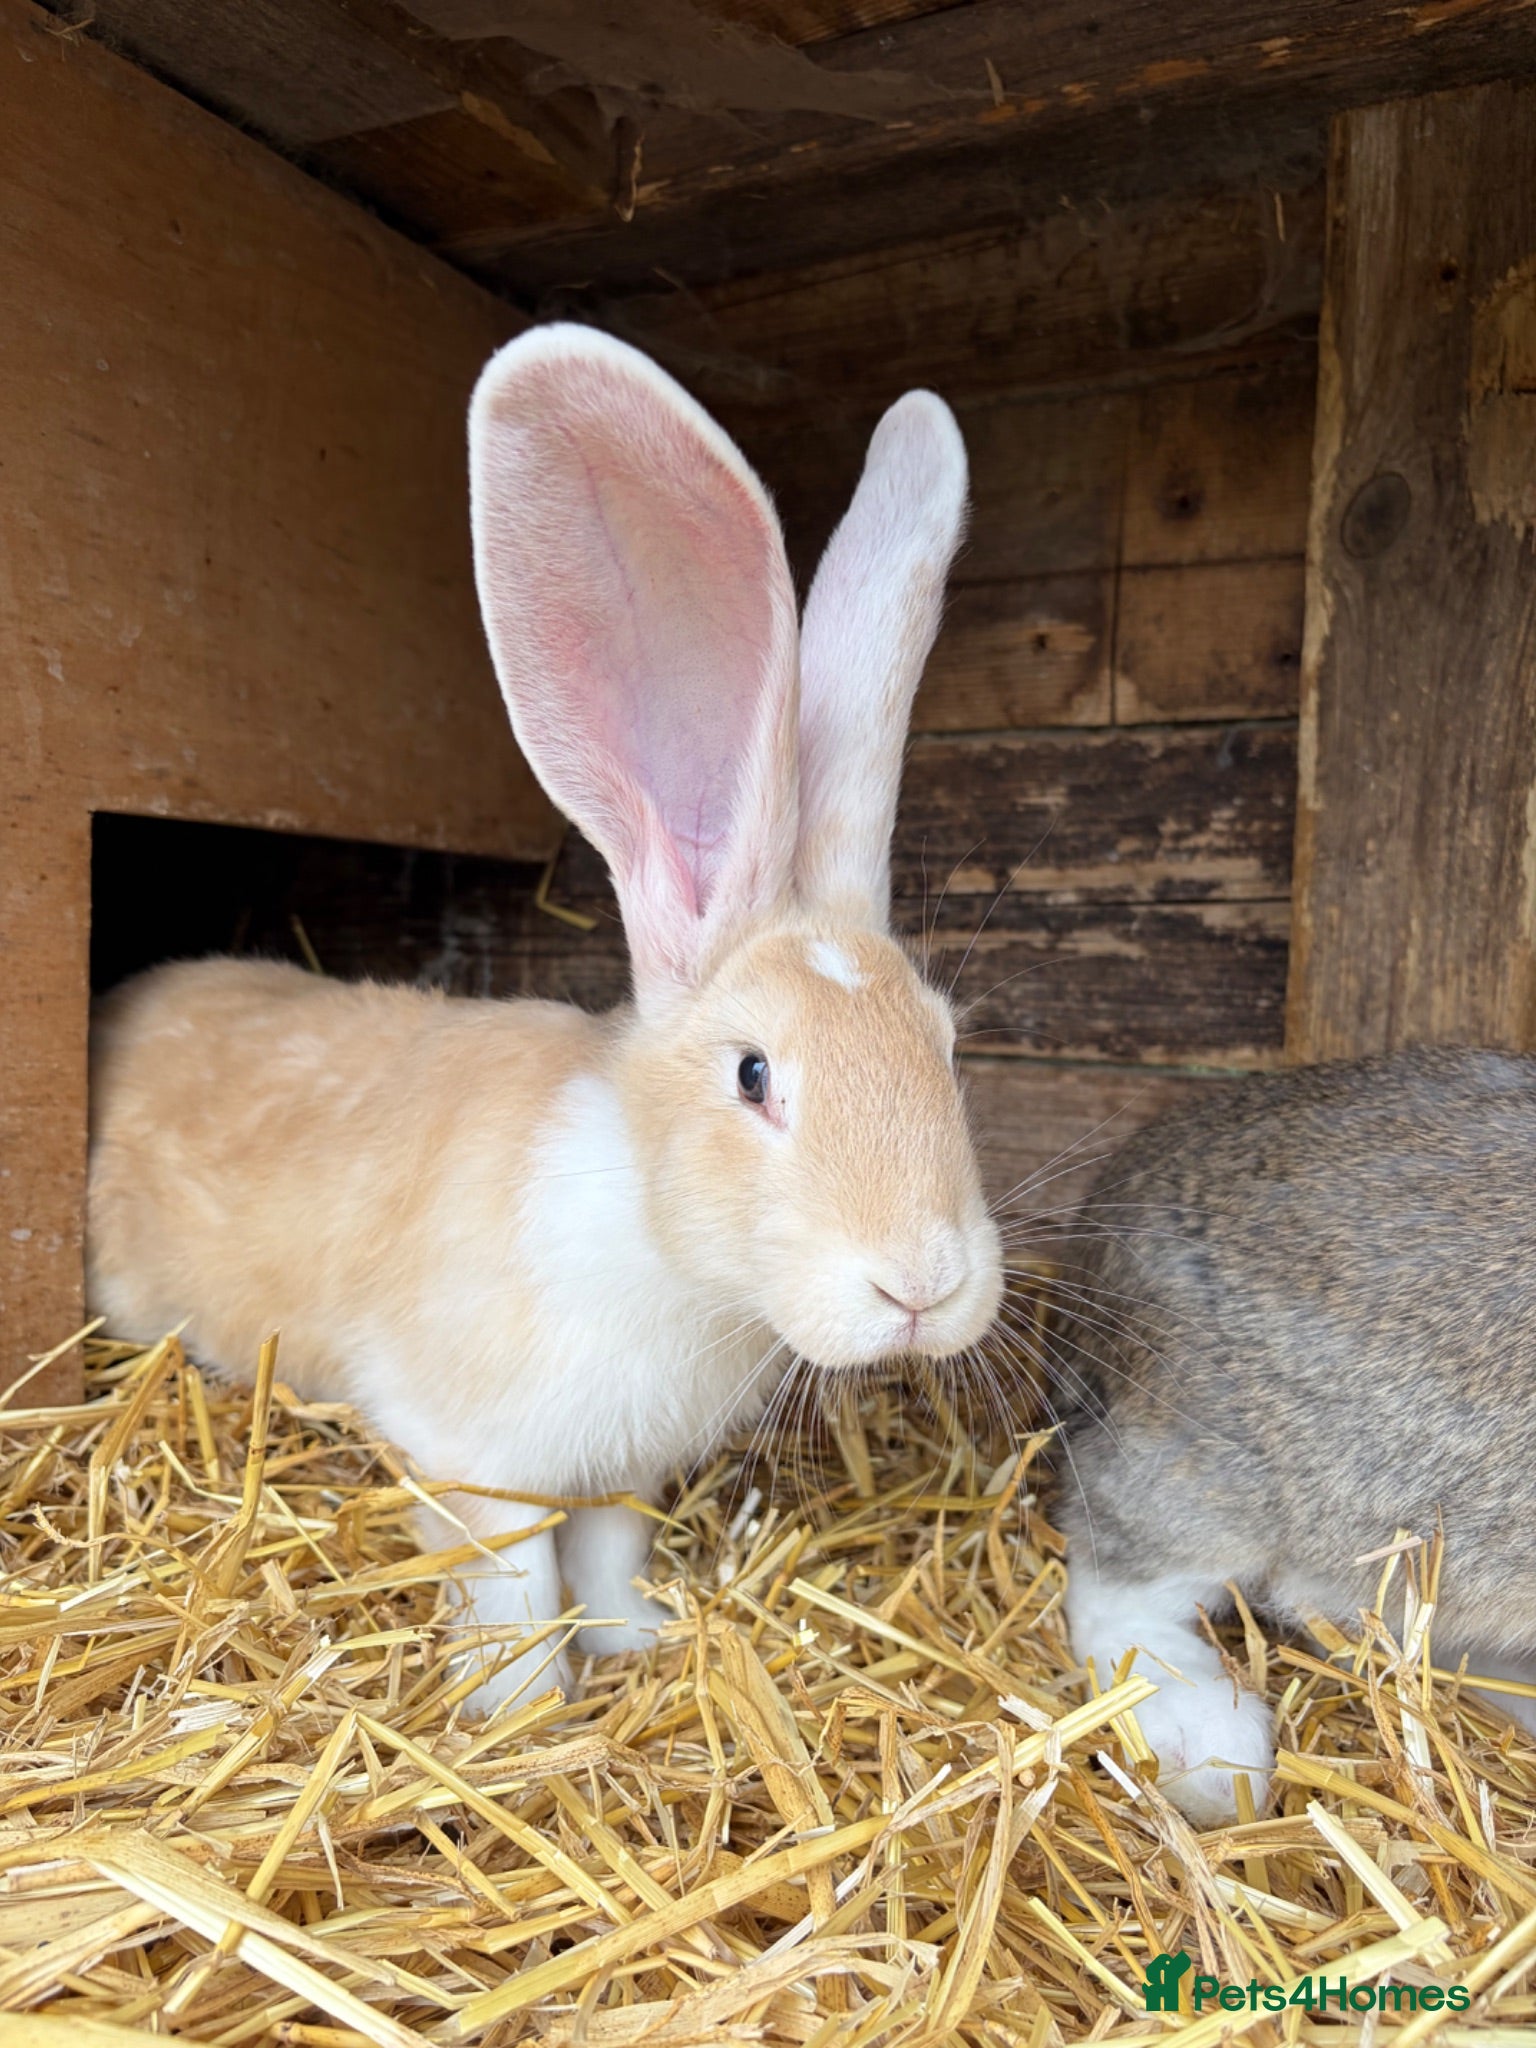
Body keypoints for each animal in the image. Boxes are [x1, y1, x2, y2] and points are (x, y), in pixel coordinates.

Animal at [86, 324, 1005, 1704]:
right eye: (753, 1074)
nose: (924, 1285)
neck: (654, 1232)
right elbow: (515, 1588)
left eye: (948, 1046)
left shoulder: (623, 1470)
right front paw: (526, 1711)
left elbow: (611, 1552)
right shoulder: (474, 1450)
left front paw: (636, 1645)